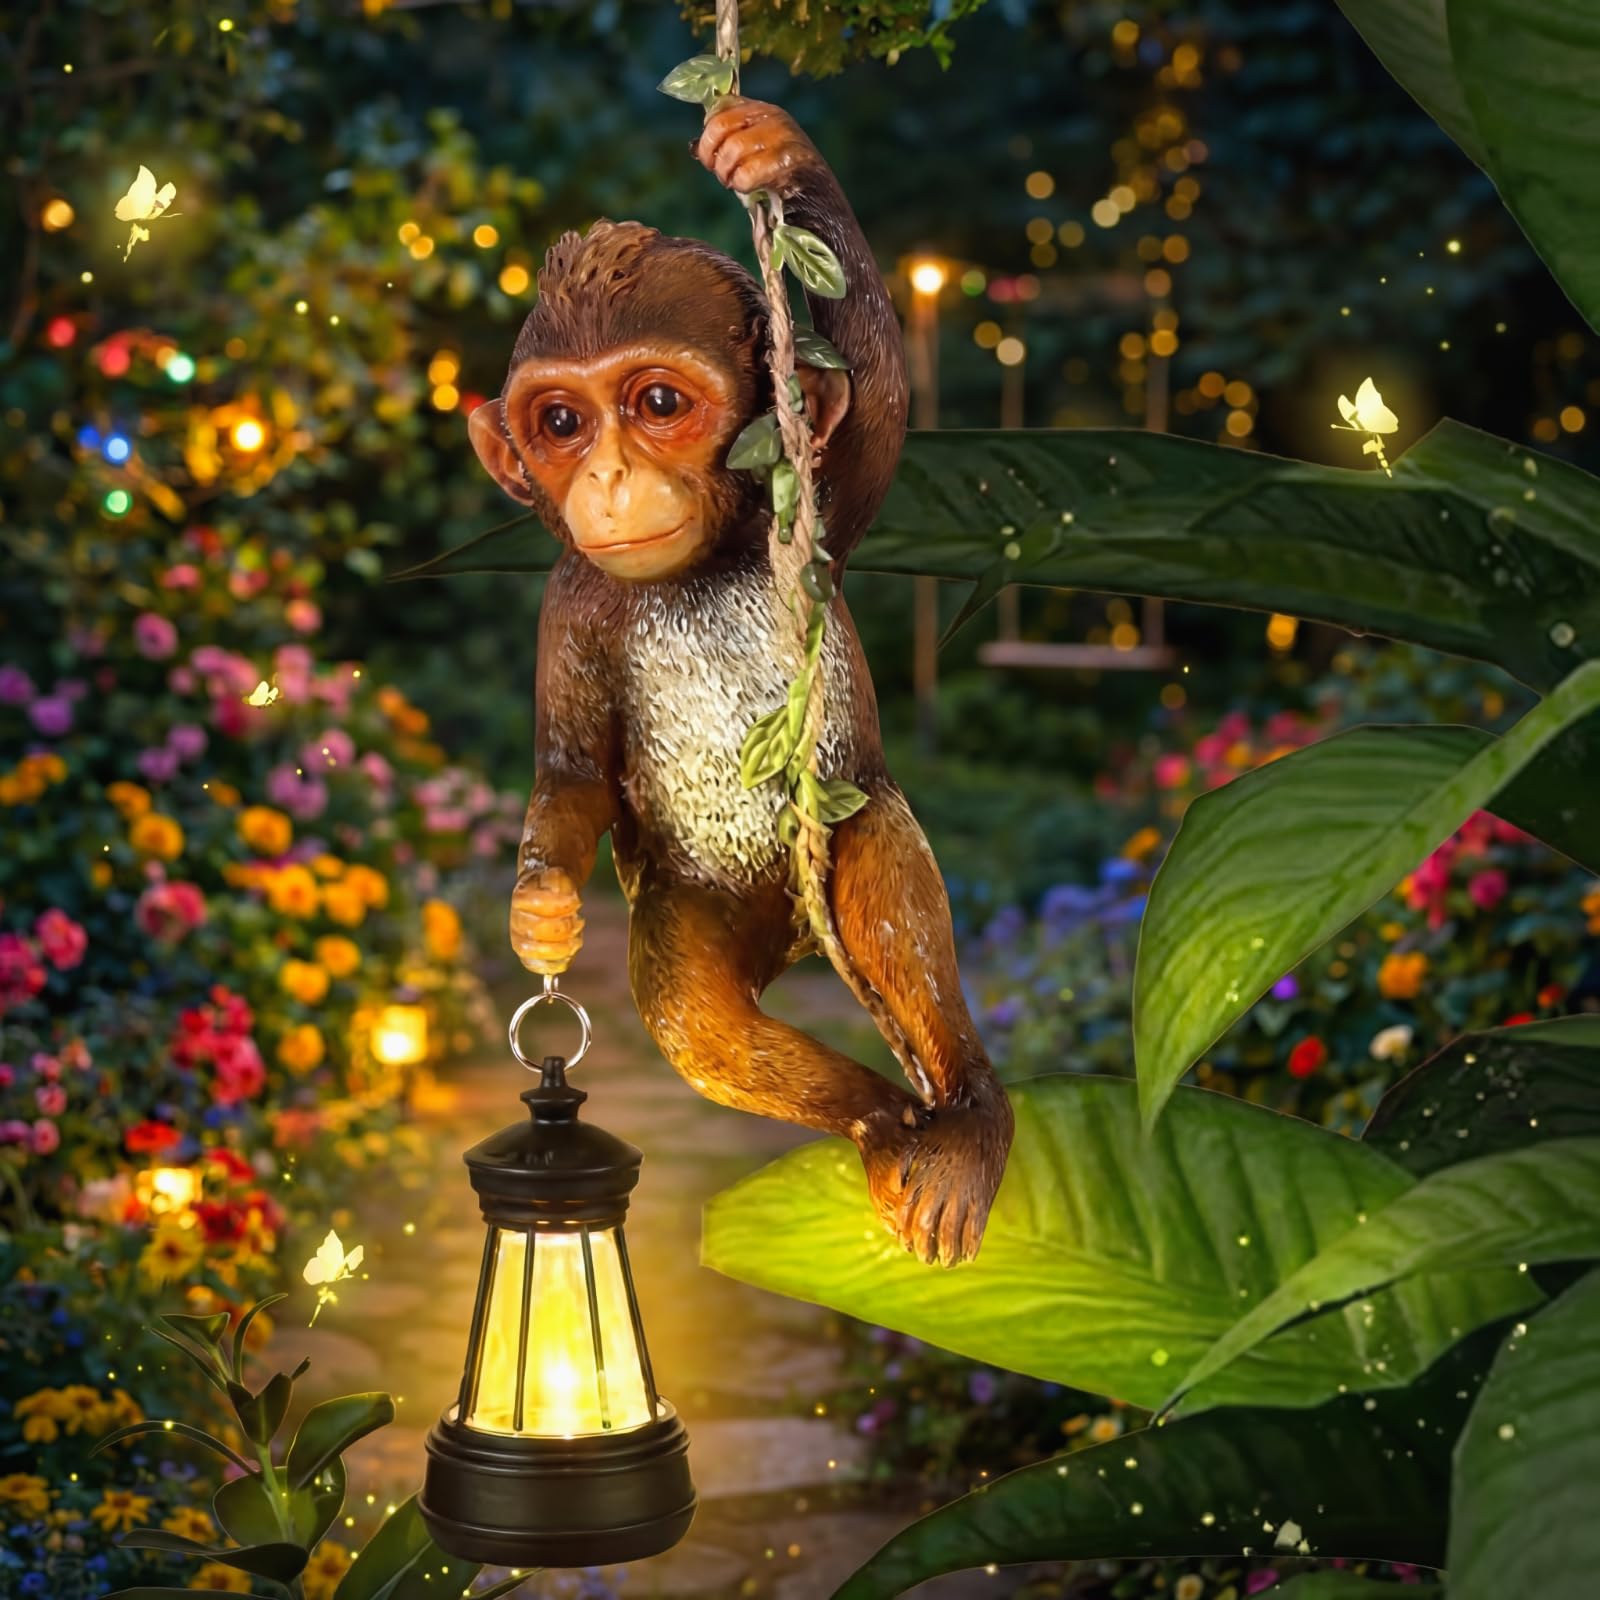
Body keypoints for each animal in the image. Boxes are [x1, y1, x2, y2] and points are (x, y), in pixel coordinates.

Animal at [467, 97, 1013, 1266]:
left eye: (657, 402)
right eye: (562, 422)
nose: (610, 476)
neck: (704, 564)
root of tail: (792, 941)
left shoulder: (821, 502)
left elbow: (879, 395)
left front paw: (773, 151)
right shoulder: (571, 607)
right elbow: (571, 773)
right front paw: (538, 909)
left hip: (826, 850)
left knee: (880, 856)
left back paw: (958, 1121)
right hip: (705, 903)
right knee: (695, 1008)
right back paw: (879, 1118)